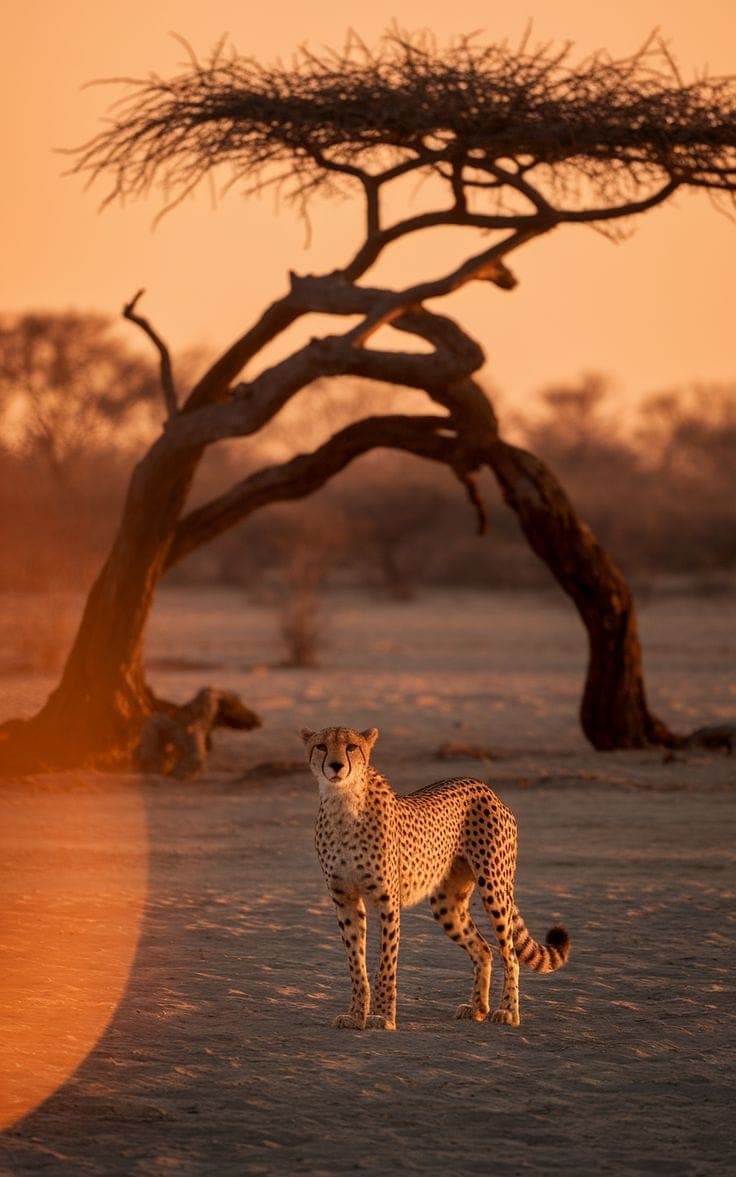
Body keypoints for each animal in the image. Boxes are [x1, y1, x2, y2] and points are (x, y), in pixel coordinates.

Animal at [302, 724, 570, 1031]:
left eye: (351, 747)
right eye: (321, 746)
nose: (336, 766)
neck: (343, 802)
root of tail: (483, 785)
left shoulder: (387, 902)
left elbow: (386, 964)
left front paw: (382, 1016)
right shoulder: (345, 900)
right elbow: (356, 964)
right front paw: (356, 1015)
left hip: (494, 886)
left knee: (510, 953)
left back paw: (508, 1012)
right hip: (447, 904)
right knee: (483, 949)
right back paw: (477, 1008)